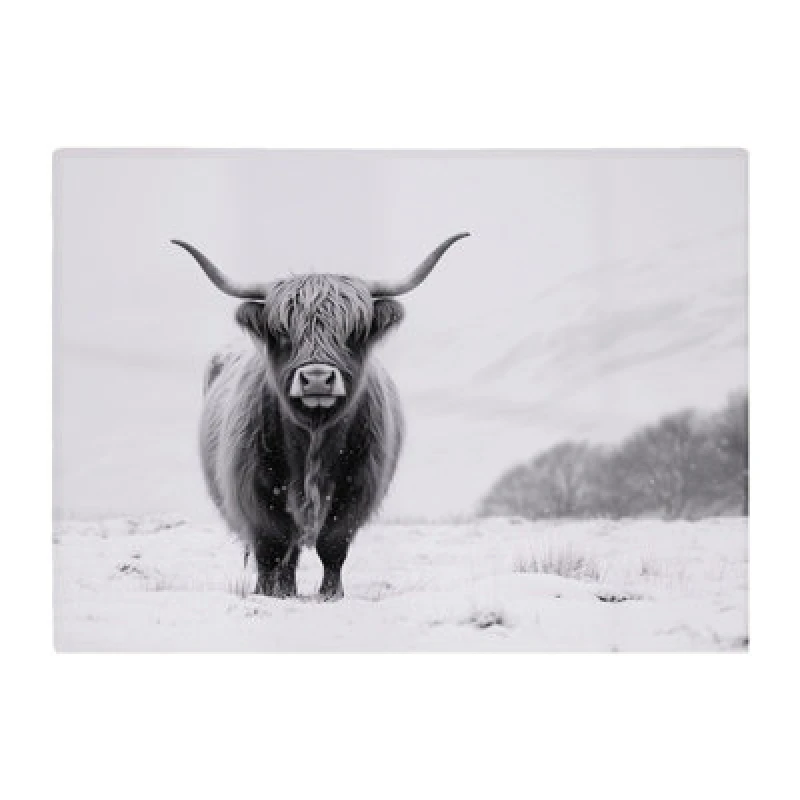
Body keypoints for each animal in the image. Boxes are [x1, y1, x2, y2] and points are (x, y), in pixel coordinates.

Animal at [172, 233, 470, 599]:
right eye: (282, 332)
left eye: (354, 331)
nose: (316, 378)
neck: (314, 436)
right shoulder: (254, 487)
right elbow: (270, 544)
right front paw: (267, 593)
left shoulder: (357, 487)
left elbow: (333, 543)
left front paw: (331, 594)